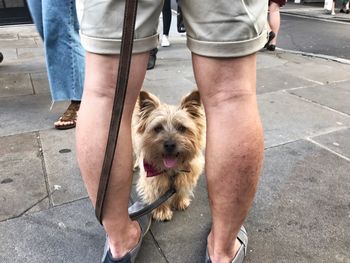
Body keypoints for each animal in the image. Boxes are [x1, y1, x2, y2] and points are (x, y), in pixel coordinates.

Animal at [133, 89, 206, 222]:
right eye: (157, 128)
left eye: (182, 128)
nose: (170, 144)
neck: (172, 169)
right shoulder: (152, 177)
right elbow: (158, 194)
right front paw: (161, 211)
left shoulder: (186, 173)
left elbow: (182, 187)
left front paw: (180, 201)